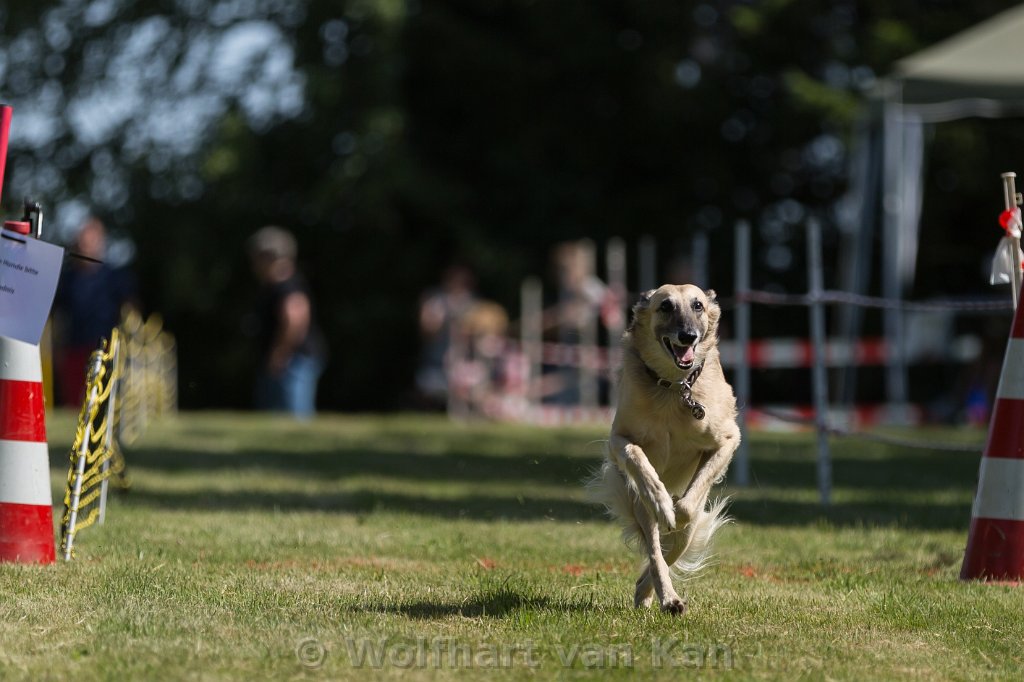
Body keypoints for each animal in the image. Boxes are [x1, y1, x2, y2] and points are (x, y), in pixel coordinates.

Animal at [589, 280, 741, 610]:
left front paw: (675, 511)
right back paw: (666, 597)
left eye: (698, 305)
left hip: (690, 526)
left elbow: (687, 505)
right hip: (637, 505)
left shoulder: (727, 439)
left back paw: (651, 591)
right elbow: (637, 457)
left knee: (675, 544)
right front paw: (661, 503)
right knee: (656, 553)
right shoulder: (619, 438)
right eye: (665, 306)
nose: (688, 336)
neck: (674, 388)